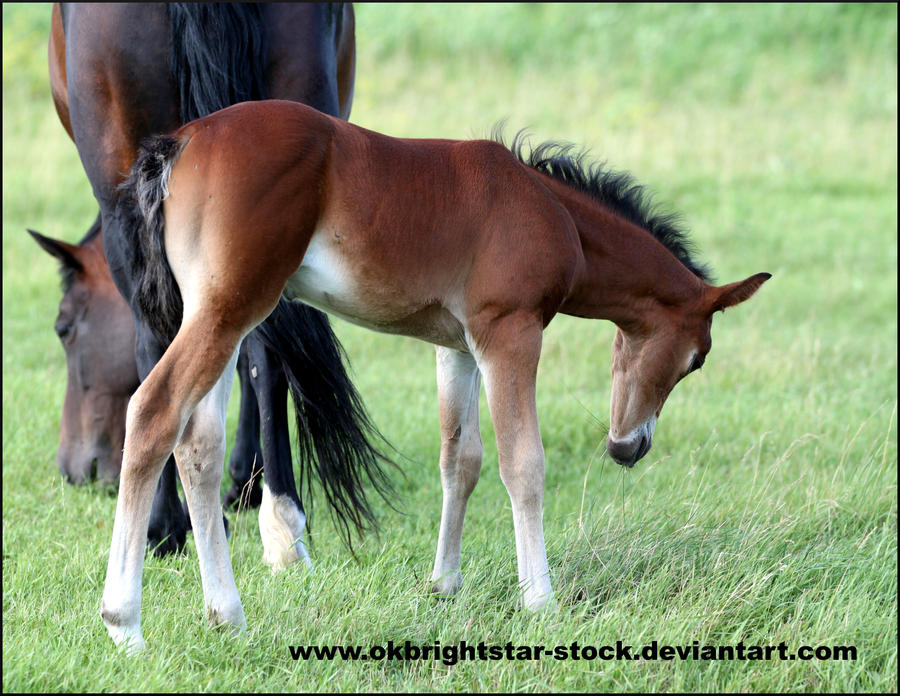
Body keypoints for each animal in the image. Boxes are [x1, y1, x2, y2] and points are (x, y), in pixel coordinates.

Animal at [27, 2, 386, 568]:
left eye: (64, 328)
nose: (74, 470)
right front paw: (245, 482)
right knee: (262, 349)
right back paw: (281, 516)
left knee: (155, 354)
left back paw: (166, 525)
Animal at [102, 100, 768, 648]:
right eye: (697, 359)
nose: (630, 448)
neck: (551, 209)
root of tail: (182, 140)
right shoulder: (510, 333)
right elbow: (522, 464)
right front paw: (540, 600)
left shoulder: (459, 346)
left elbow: (461, 460)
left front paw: (445, 583)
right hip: (228, 310)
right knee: (154, 412)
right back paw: (125, 624)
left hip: (220, 317)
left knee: (199, 445)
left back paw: (228, 614)